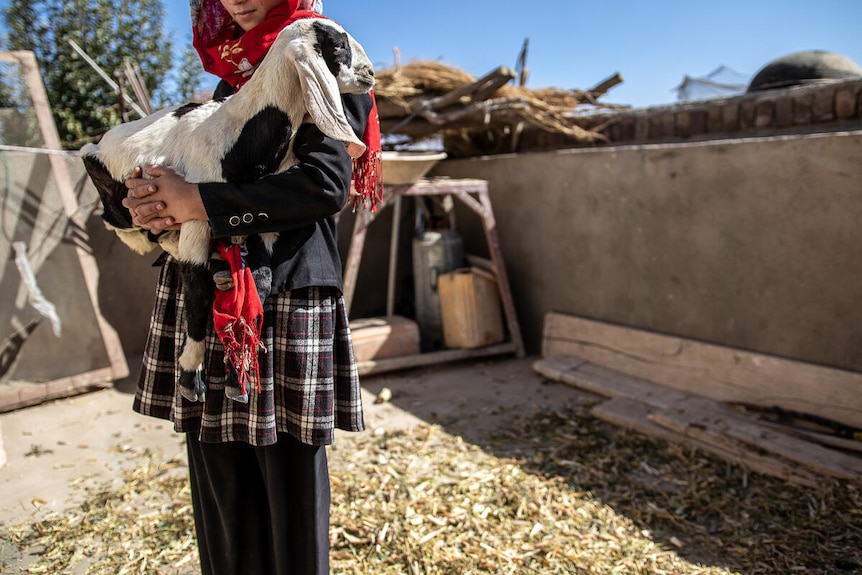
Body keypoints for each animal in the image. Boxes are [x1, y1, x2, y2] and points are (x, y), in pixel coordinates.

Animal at [81, 16, 374, 404]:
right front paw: (191, 377)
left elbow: (260, 282)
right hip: (113, 194)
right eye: (337, 46)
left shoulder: (264, 221)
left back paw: (222, 265)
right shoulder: (193, 217)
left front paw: (238, 375)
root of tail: (97, 144)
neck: (239, 134)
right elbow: (197, 294)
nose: (371, 74)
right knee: (130, 229)